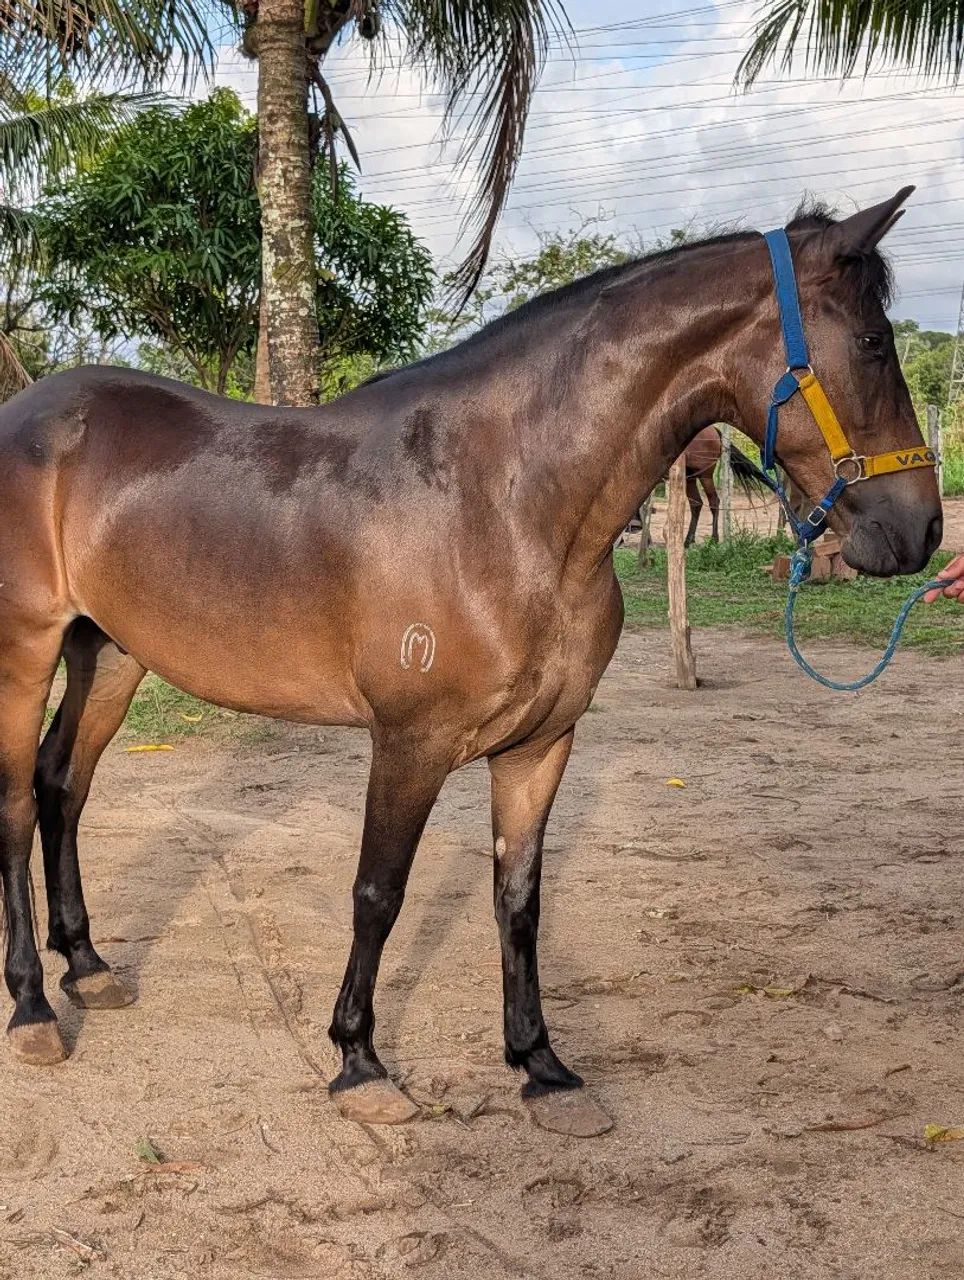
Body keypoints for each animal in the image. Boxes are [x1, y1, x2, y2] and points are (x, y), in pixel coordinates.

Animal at [0, 188, 941, 1137]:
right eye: (873, 342)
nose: (921, 530)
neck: (504, 502)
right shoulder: (409, 742)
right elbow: (378, 893)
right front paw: (359, 1061)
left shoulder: (541, 744)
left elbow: (518, 898)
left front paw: (540, 1065)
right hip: (25, 654)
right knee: (16, 806)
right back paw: (34, 1008)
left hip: (111, 652)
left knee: (63, 785)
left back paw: (88, 967)